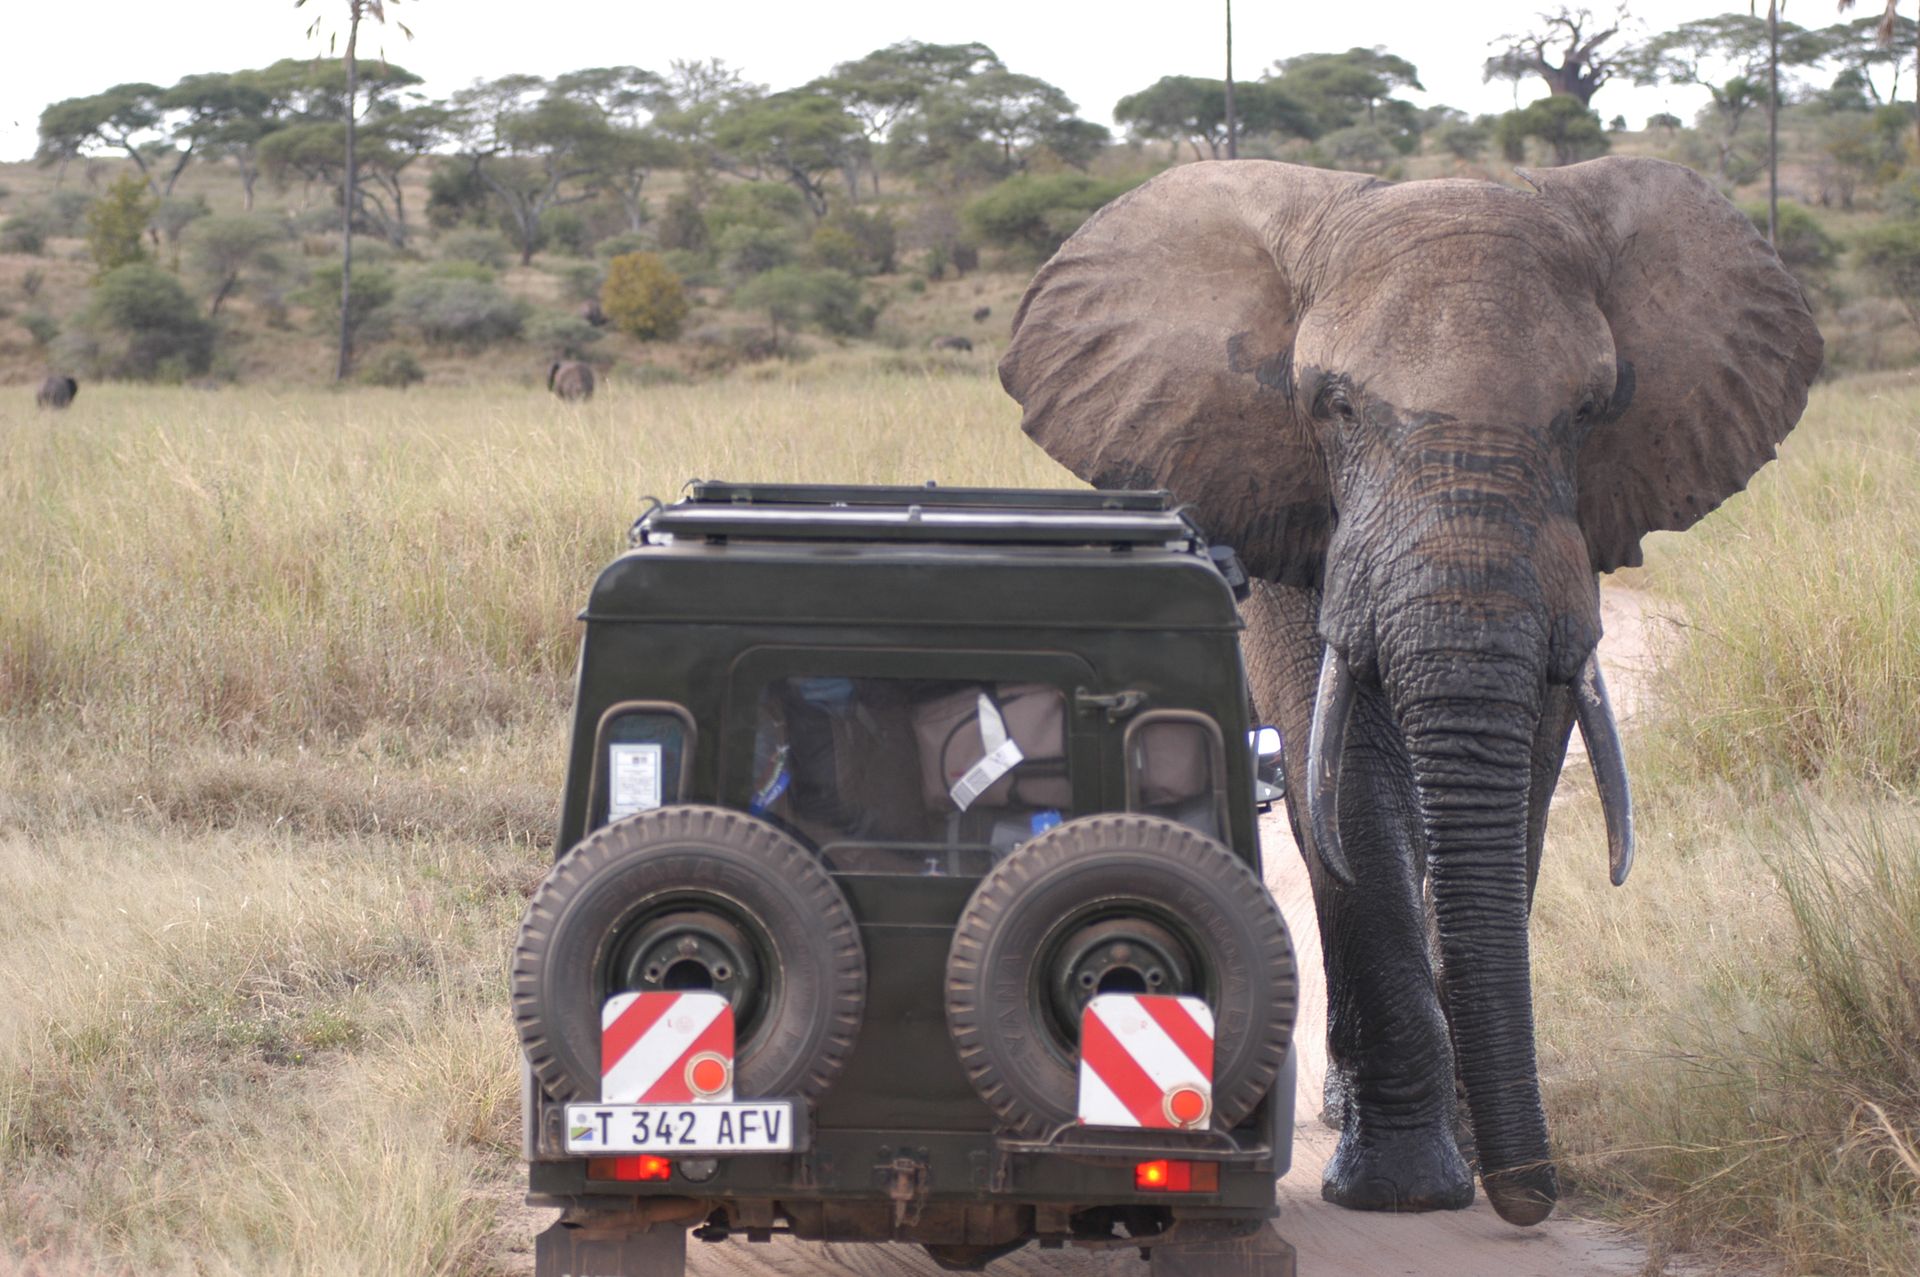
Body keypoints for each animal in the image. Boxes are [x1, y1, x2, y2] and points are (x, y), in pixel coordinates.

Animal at [999, 157, 1821, 1227]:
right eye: (1334, 405)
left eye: (1588, 412)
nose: (1534, 1196)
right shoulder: (1288, 510)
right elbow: (1345, 775)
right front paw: (1405, 1192)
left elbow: (1525, 769)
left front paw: (1465, 1160)